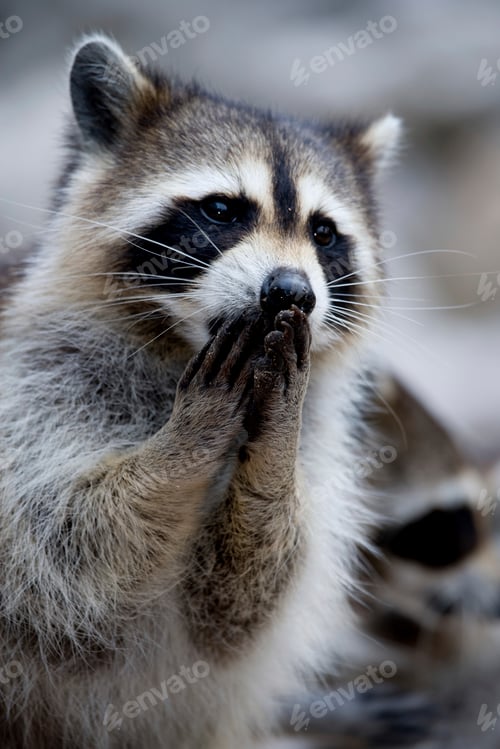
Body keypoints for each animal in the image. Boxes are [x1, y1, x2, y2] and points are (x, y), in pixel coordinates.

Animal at [0, 35, 401, 748]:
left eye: (323, 232)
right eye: (221, 209)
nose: (291, 291)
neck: (182, 352)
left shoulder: (320, 447)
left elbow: (237, 608)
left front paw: (269, 459)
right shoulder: (30, 390)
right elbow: (63, 561)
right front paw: (187, 443)